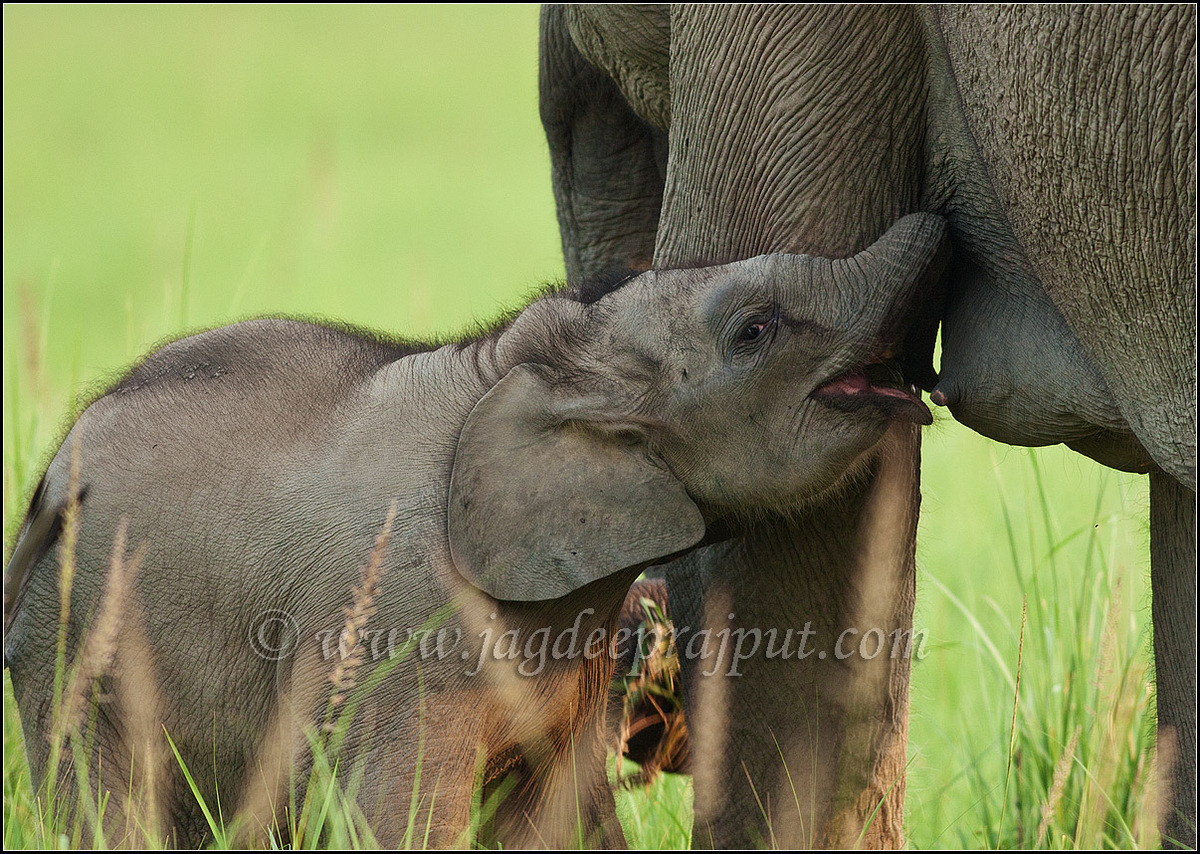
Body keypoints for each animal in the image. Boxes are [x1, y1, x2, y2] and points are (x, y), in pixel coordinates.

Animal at [3, 214, 948, 847]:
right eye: (756, 330)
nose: (937, 218)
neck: (517, 365)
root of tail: (51, 475)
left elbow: (552, 819)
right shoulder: (397, 641)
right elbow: (402, 817)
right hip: (77, 633)